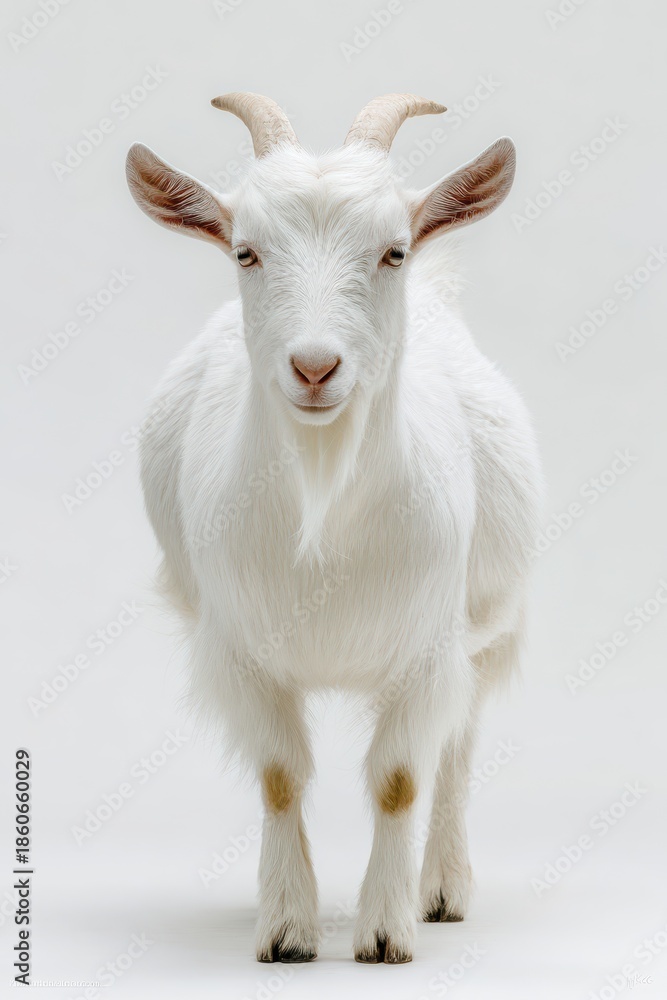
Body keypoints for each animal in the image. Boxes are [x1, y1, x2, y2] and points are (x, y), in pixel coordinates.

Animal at [126, 92, 542, 965]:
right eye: (245, 252)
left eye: (392, 251)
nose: (315, 368)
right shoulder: (244, 649)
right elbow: (280, 775)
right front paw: (287, 926)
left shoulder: (425, 646)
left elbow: (400, 778)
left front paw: (385, 931)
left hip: (486, 626)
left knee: (457, 748)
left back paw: (442, 888)